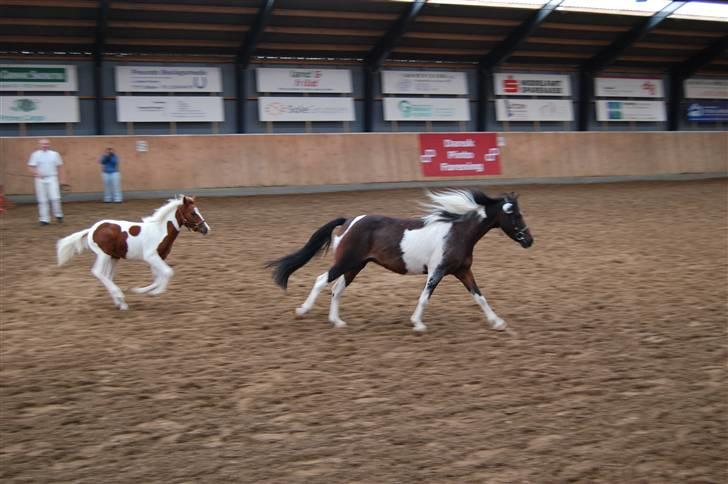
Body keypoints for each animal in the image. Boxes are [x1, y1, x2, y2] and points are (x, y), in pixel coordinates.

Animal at [57, 195, 208, 308]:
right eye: (193, 213)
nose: (206, 229)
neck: (160, 230)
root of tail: (92, 230)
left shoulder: (159, 257)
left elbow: (158, 277)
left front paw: (141, 291)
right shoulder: (151, 256)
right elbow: (167, 272)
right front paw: (155, 292)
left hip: (114, 257)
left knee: (108, 276)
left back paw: (120, 303)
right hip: (103, 255)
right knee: (98, 272)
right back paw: (119, 296)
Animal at [268, 189, 536, 332]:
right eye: (516, 215)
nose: (529, 240)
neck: (457, 232)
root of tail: (349, 221)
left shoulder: (462, 271)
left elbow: (480, 297)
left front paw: (498, 322)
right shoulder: (437, 271)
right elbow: (425, 297)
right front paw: (418, 324)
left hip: (356, 266)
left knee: (336, 288)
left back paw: (338, 321)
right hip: (346, 262)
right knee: (322, 280)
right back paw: (302, 311)